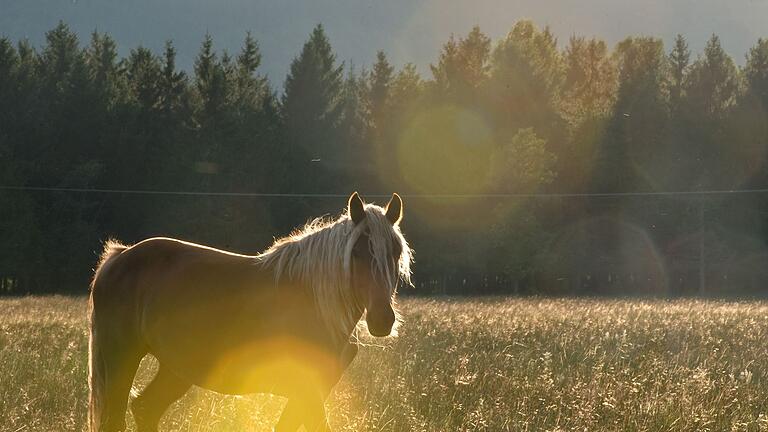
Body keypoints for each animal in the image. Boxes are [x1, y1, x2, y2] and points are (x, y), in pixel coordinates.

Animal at [88, 193, 414, 432]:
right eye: (356, 252)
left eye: (396, 253)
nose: (382, 320)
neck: (316, 303)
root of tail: (119, 256)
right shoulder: (307, 390)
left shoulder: (309, 392)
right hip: (122, 359)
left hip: (176, 369)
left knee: (146, 409)